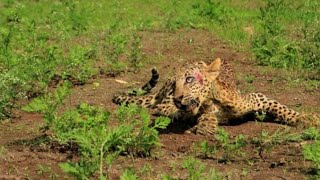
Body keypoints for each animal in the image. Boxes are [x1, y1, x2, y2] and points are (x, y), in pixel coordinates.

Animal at [112, 57, 318, 135]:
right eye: (175, 84)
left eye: (189, 79)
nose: (178, 98)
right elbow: (204, 114)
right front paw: (205, 124)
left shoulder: (256, 97)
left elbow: (280, 107)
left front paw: (307, 118)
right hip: (166, 102)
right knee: (161, 108)